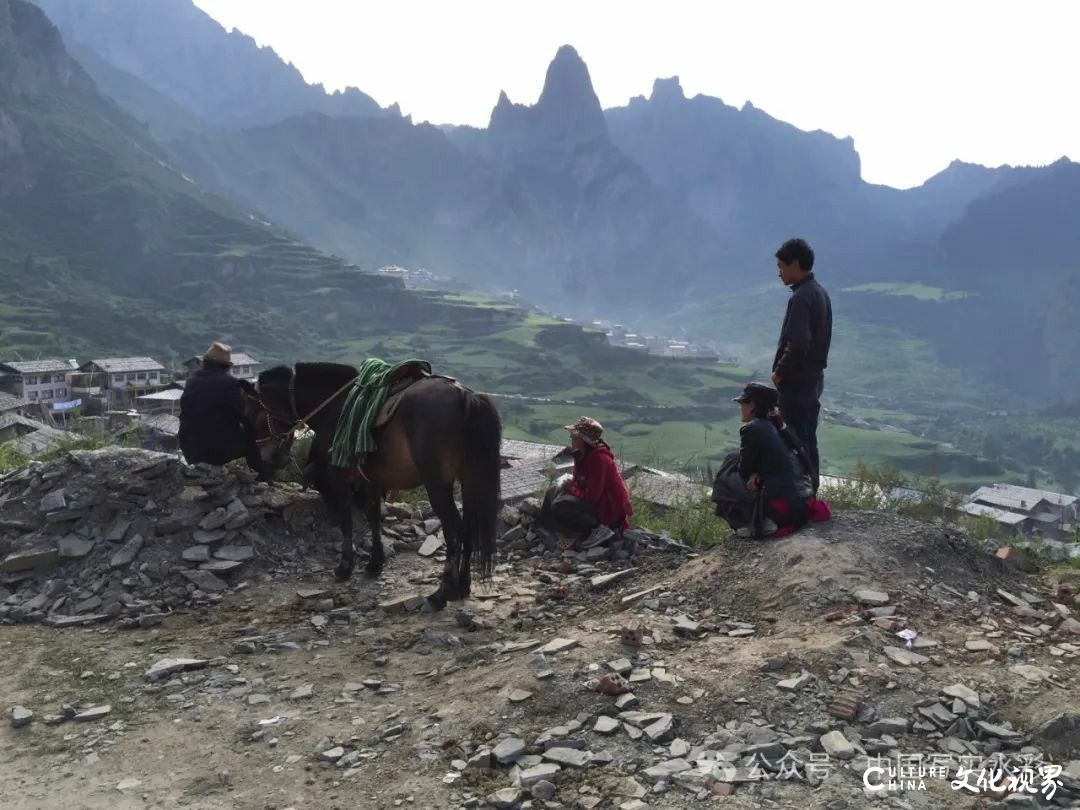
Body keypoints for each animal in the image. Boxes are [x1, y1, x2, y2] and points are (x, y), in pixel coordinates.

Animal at [248, 365, 501, 613]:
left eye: (257, 414)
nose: (263, 459)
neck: (336, 406)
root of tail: (466, 397)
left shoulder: (339, 475)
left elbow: (346, 520)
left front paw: (345, 567)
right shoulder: (371, 480)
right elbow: (373, 518)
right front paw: (374, 563)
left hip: (437, 484)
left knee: (453, 528)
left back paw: (441, 594)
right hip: (468, 480)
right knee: (468, 525)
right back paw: (463, 586)